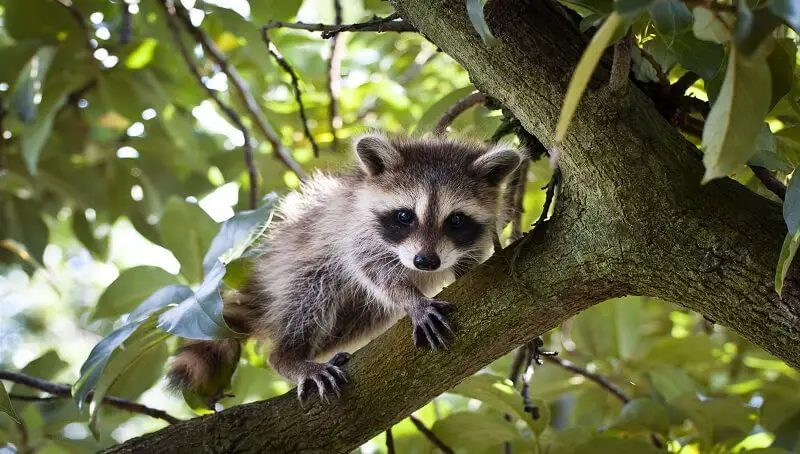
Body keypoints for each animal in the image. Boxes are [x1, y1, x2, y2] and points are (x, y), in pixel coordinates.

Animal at [166, 133, 520, 402]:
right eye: (405, 216)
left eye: (456, 220)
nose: (426, 262)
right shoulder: (354, 231)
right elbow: (373, 269)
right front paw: (412, 300)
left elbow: (468, 261)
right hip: (297, 266)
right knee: (309, 297)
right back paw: (289, 356)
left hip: (355, 314)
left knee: (356, 322)